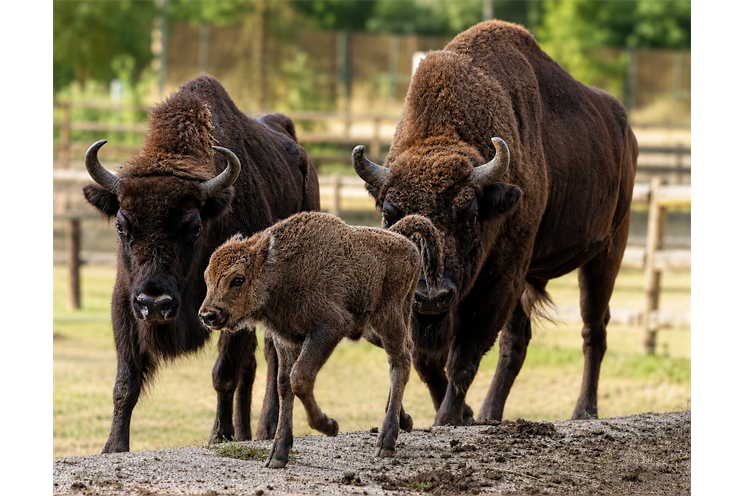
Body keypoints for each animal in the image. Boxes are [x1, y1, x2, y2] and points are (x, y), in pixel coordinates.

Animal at [82, 74, 319, 452]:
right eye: (122, 226)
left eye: (193, 227)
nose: (155, 303)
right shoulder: (124, 302)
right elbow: (125, 382)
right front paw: (114, 446)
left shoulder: (233, 305)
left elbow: (223, 374)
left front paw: (219, 436)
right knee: (253, 364)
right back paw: (246, 431)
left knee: (274, 359)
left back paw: (266, 429)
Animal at [353, 20, 638, 425]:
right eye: (390, 215)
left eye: (471, 216)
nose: (431, 297)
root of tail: (626, 131)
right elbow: (426, 360)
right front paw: (466, 413)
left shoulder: (501, 278)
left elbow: (464, 356)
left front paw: (448, 418)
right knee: (517, 343)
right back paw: (490, 413)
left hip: (606, 253)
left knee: (592, 331)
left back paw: (584, 411)